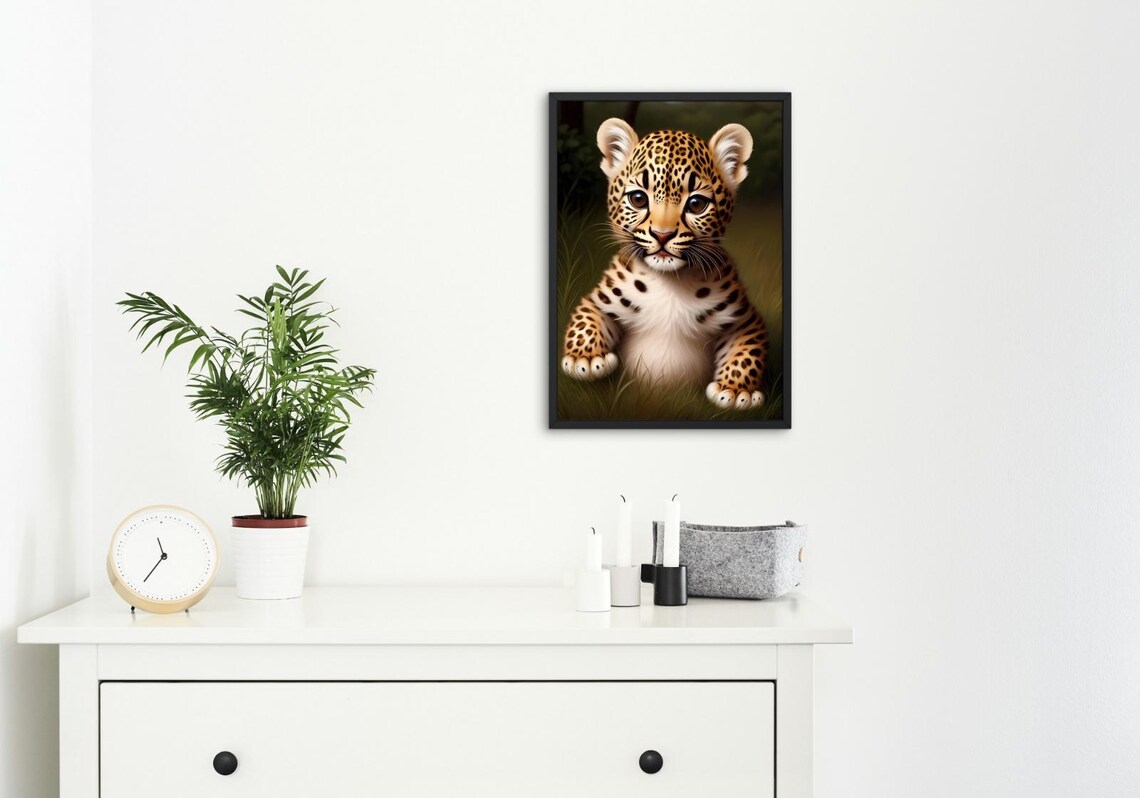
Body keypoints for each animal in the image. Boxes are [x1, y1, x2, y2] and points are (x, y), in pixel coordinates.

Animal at [560, 118, 770, 410]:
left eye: (696, 203)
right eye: (638, 199)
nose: (662, 234)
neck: (669, 284)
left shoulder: (746, 320)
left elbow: (747, 350)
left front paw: (737, 390)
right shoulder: (598, 300)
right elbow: (585, 319)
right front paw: (585, 359)